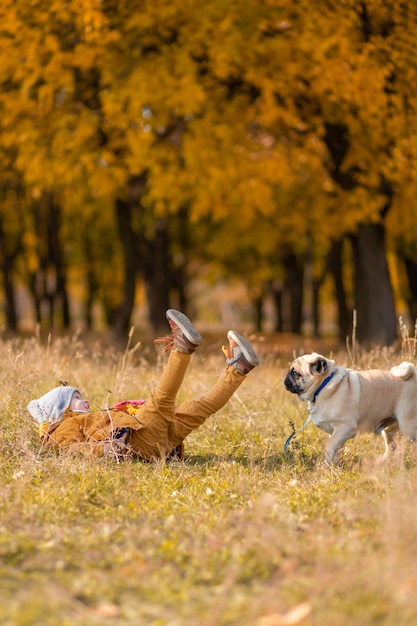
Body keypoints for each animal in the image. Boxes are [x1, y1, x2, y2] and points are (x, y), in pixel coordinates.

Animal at [282, 354, 416, 460]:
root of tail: (412, 379)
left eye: (295, 373)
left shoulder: (344, 427)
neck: (322, 386)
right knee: (391, 447)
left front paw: (327, 466)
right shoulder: (335, 433)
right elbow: (335, 450)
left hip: (408, 427)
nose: (285, 379)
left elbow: (329, 446)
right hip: (388, 430)